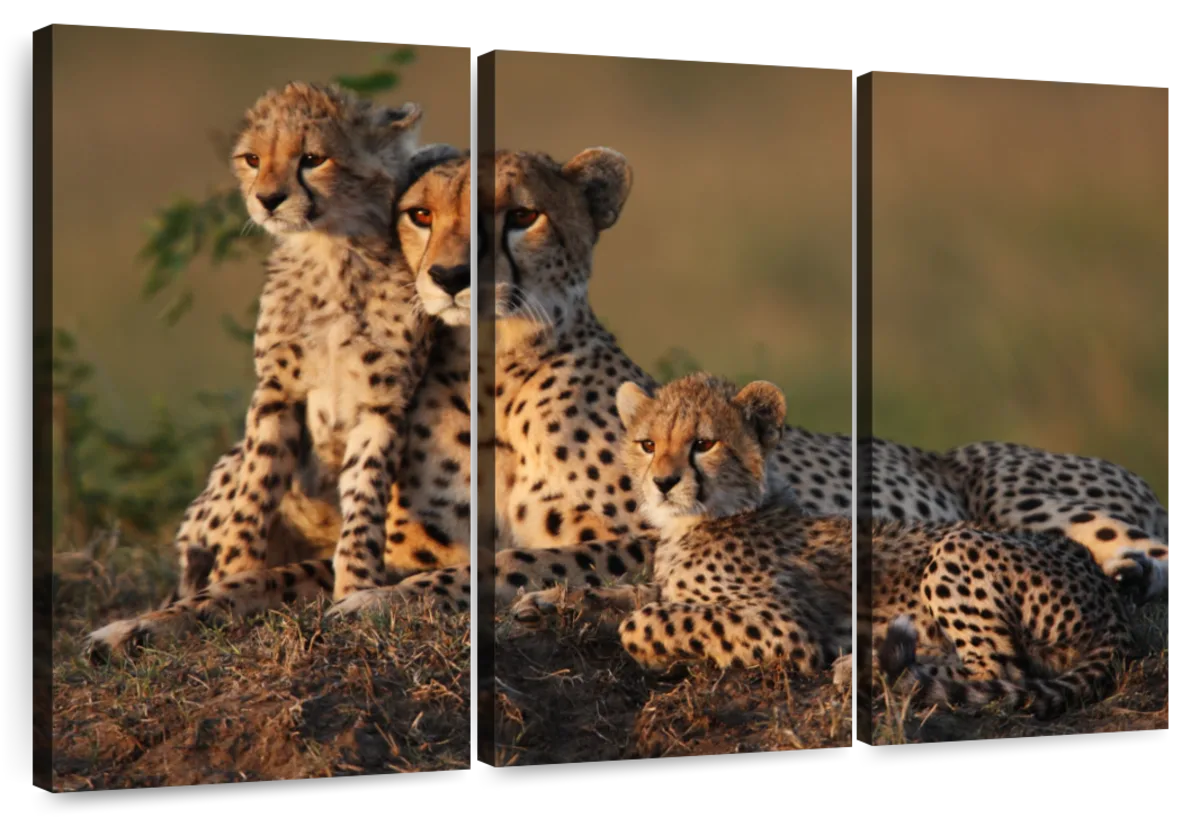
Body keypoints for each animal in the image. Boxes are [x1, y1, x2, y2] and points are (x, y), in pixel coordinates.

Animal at [83, 84, 467, 659]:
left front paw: (356, 587)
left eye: (312, 159)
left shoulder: (382, 403)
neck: (331, 251)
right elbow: (256, 492)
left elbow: (365, 500)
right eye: (252, 160)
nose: (267, 199)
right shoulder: (277, 393)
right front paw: (235, 571)